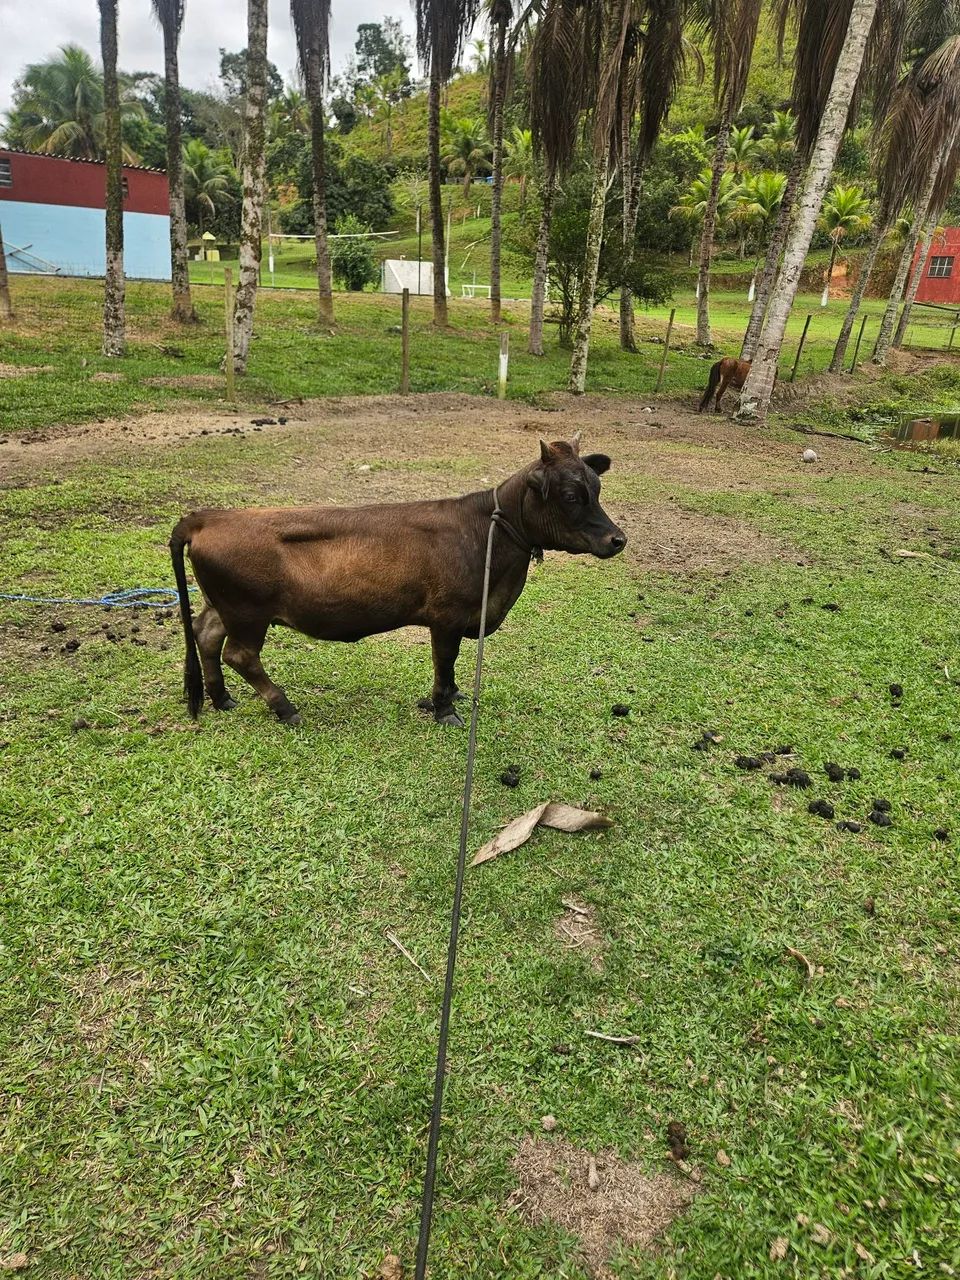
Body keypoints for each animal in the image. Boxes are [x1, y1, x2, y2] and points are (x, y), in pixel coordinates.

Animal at [169, 436, 626, 727]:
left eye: (597, 488)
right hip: (248, 612)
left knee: (206, 634)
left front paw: (453, 696)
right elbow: (444, 662)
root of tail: (207, 517)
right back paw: (285, 708)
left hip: (223, 605)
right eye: (571, 496)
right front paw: (444, 710)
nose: (617, 539)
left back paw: (221, 698)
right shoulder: (446, 616)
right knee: (240, 655)